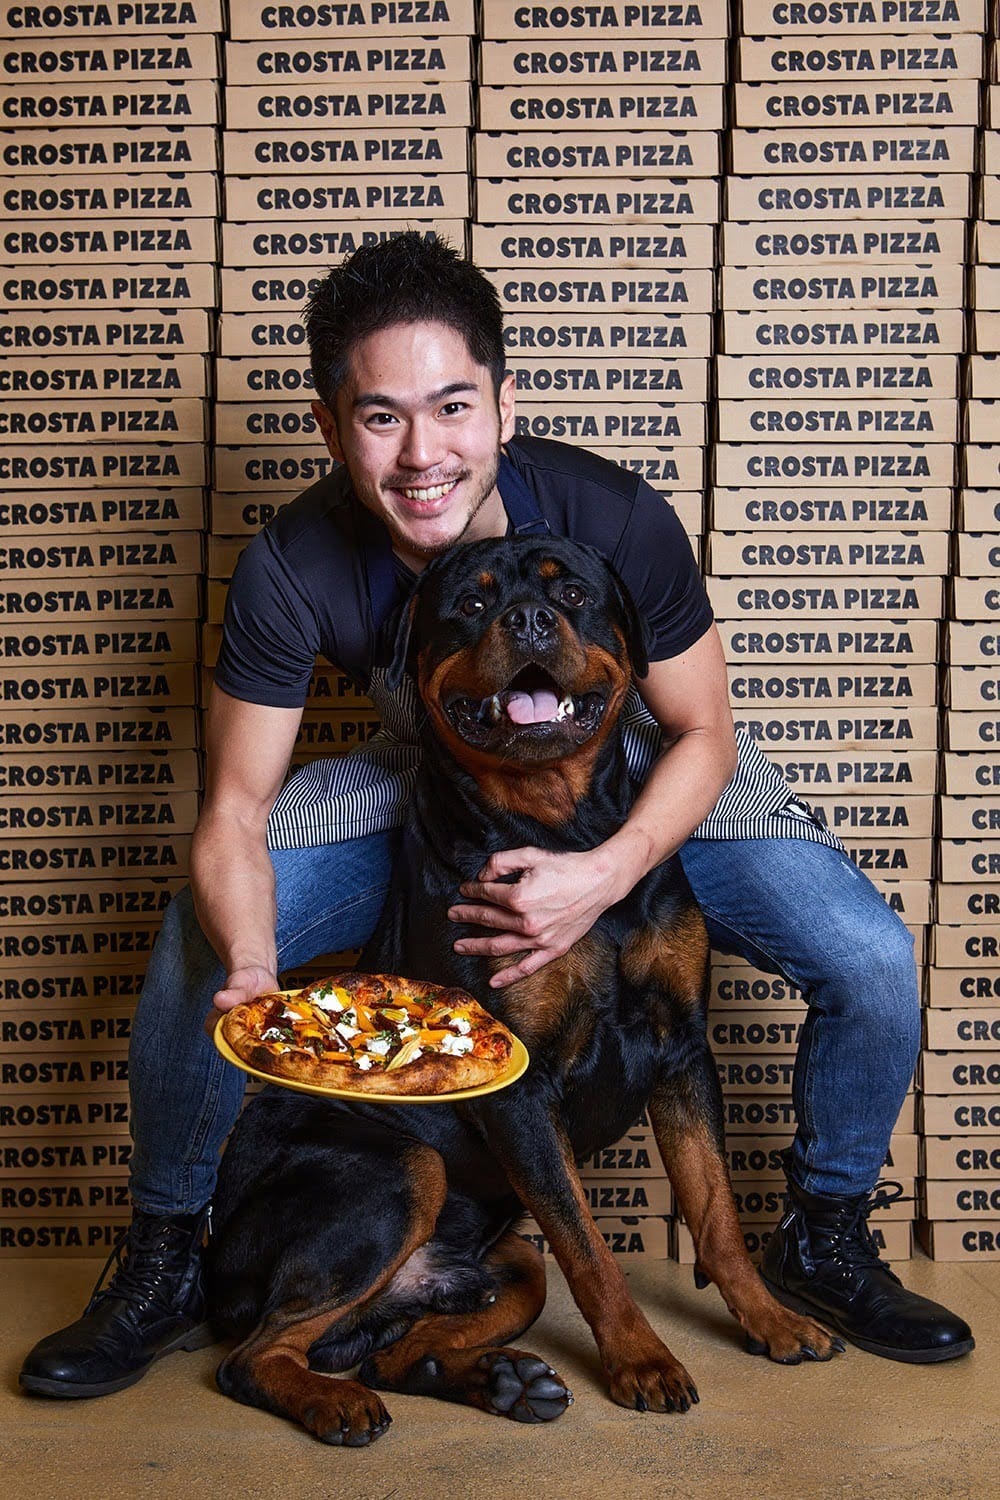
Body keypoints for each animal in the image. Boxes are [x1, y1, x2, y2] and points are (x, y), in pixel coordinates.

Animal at [206, 534, 839, 1445]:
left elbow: (715, 1209)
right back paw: (334, 1402)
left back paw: (495, 1379)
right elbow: (592, 1249)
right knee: (256, 1354)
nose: (532, 619)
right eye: (471, 604)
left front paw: (769, 1318)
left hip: (506, 1261)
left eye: (570, 592)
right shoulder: (520, 1089)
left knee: (393, 1350)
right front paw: (643, 1361)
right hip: (401, 1171)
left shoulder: (682, 1046)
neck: (563, 824)